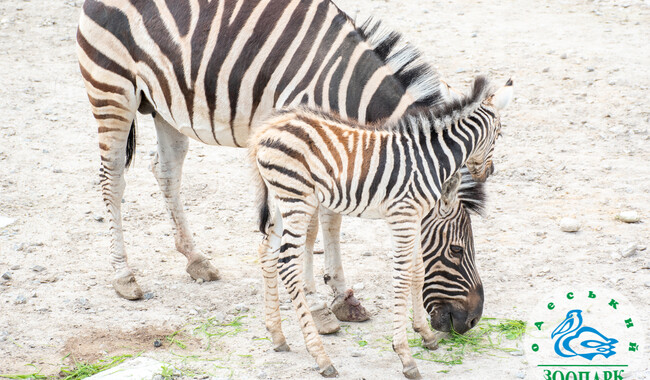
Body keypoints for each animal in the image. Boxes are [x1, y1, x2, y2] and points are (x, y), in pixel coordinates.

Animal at [249, 76, 512, 378]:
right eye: (456, 250)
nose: (488, 172)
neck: (431, 158)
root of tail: (266, 129)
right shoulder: (402, 215)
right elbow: (402, 276)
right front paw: (405, 356)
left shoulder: (416, 216)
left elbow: (418, 271)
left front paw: (425, 335)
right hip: (297, 199)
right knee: (287, 264)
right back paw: (321, 356)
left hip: (280, 199)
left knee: (266, 252)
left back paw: (277, 335)